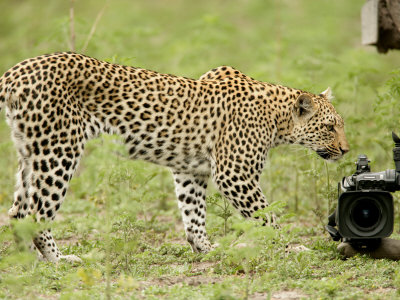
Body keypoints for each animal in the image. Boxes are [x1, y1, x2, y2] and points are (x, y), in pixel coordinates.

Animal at [0, 52, 350, 262]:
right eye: (330, 127)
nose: (346, 150)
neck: (278, 120)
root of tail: (16, 70)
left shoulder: (190, 171)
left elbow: (193, 214)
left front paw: (205, 249)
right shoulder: (234, 174)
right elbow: (267, 216)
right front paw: (291, 246)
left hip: (30, 153)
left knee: (17, 211)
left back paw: (28, 261)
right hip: (59, 151)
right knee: (36, 213)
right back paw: (58, 260)